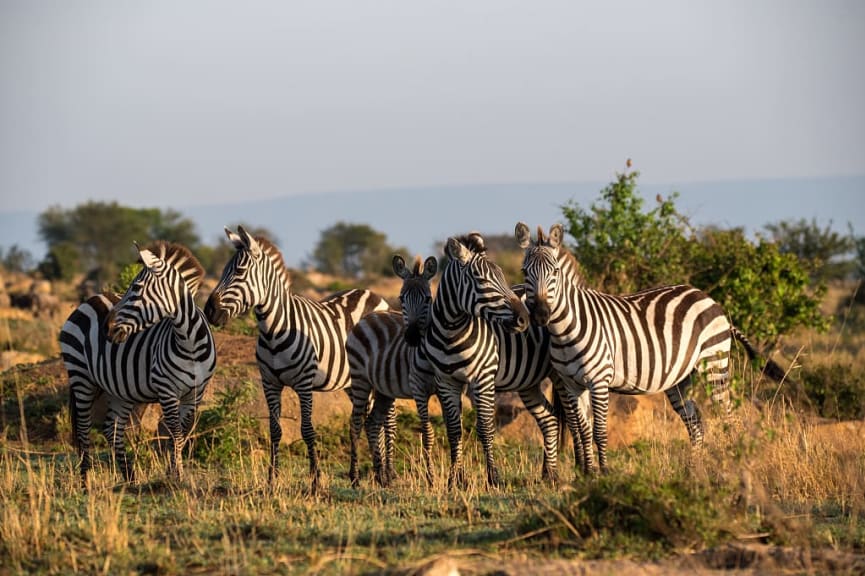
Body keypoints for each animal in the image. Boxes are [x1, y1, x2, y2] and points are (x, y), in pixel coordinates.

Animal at [60, 241, 214, 484]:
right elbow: (175, 434)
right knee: (84, 431)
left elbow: (180, 434)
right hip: (80, 375)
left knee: (112, 430)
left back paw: (131, 480)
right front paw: (177, 477)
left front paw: (173, 474)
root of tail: (92, 298)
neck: (189, 343)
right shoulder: (167, 391)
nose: (106, 328)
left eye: (137, 287)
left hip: (117, 388)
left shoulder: (195, 394)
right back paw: (85, 483)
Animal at [204, 227, 386, 488]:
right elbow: (275, 429)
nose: (209, 311)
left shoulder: (304, 383)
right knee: (368, 422)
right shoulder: (269, 383)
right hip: (352, 383)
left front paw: (316, 480)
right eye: (221, 272)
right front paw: (272, 479)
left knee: (377, 422)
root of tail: (372, 293)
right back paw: (369, 475)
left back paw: (381, 474)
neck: (273, 329)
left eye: (239, 272)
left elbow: (308, 430)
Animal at [346, 255, 438, 486]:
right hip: (360, 380)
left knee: (372, 423)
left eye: (428, 299)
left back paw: (381, 477)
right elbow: (427, 432)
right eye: (401, 298)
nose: (411, 337)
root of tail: (369, 316)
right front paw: (431, 479)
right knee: (355, 423)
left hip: (383, 389)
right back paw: (355, 478)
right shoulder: (419, 389)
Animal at [422, 232, 576, 488]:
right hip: (528, 382)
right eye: (480, 279)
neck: (450, 334)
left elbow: (485, 428)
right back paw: (549, 474)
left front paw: (493, 478)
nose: (525, 318)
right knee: (550, 419)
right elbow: (454, 430)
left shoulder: (483, 378)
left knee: (573, 418)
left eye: (502, 276)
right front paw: (456, 480)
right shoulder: (446, 381)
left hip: (561, 375)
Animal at [512, 223, 788, 474]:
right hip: (681, 378)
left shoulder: (599, 381)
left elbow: (599, 432)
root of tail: (708, 298)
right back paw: (693, 471)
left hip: (714, 363)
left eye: (555, 272)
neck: (568, 327)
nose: (540, 315)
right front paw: (588, 473)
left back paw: (736, 468)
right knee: (695, 423)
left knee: (729, 417)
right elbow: (583, 430)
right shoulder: (572, 384)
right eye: (525, 272)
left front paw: (604, 473)